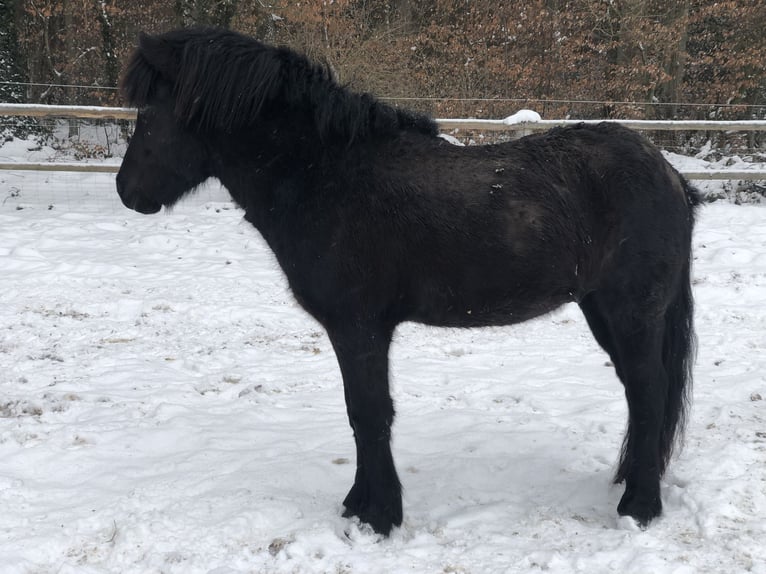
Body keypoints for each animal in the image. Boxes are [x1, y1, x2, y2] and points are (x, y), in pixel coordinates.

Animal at [116, 28, 699, 535]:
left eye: (149, 113)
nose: (127, 190)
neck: (327, 175)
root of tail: (670, 175)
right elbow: (360, 415)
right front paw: (358, 505)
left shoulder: (358, 328)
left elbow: (370, 414)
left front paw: (380, 516)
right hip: (602, 309)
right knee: (638, 395)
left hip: (633, 312)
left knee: (649, 392)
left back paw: (640, 507)